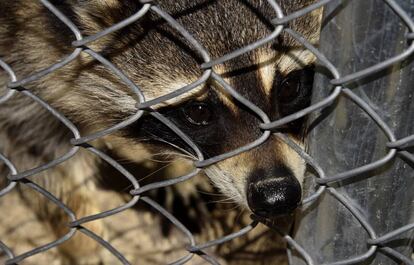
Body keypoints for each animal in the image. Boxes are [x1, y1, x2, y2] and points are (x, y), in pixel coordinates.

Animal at [0, 1, 322, 262]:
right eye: (198, 111)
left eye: (289, 87)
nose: (277, 196)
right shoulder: (21, 53)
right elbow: (36, 147)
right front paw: (85, 240)